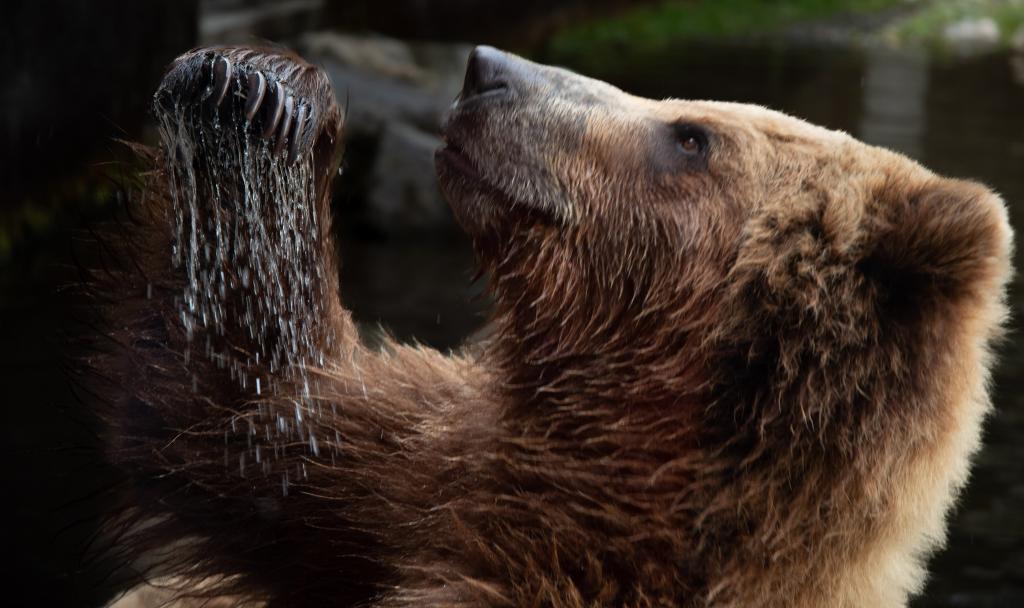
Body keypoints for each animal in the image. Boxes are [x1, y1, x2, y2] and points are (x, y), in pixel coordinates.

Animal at [90, 45, 1015, 601]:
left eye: (692, 136)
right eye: (687, 111)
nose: (487, 68)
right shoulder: (416, 479)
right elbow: (250, 419)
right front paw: (252, 93)